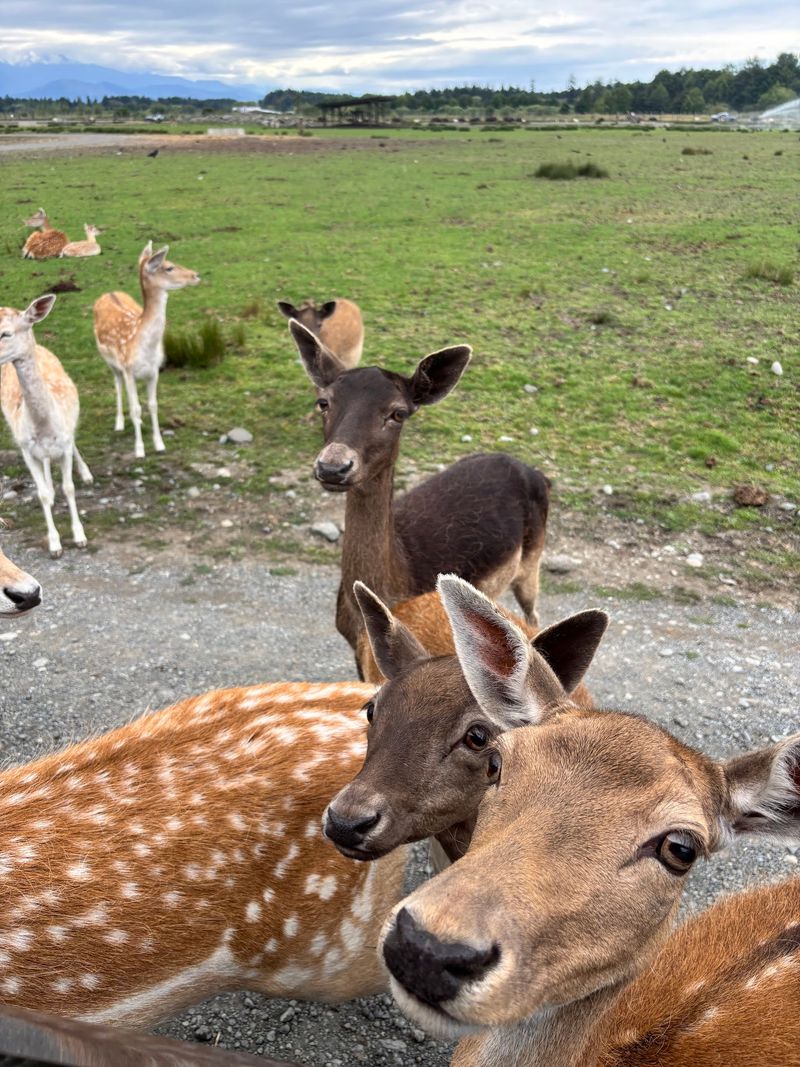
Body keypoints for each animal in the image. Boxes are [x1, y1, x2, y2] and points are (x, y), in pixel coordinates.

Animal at [0, 295, 93, 558]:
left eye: (6, 333)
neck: (43, 426)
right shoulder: (26, 449)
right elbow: (41, 494)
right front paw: (54, 544)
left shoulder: (64, 444)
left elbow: (69, 487)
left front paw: (80, 537)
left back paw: (86, 473)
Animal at [93, 241, 200, 459]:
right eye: (169, 267)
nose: (196, 275)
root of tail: (108, 293)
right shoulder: (128, 369)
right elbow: (135, 408)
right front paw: (139, 449)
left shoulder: (154, 371)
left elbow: (152, 405)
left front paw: (159, 444)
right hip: (111, 362)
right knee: (117, 385)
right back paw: (119, 423)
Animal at [289, 320, 551, 663]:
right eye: (324, 402)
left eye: (398, 413)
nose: (333, 466)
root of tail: (536, 473)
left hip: (533, 558)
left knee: (534, 614)